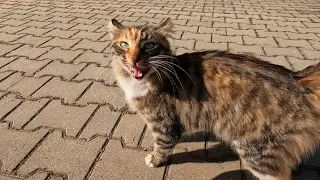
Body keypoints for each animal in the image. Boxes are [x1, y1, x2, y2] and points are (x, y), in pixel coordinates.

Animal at [107, 17, 320, 180]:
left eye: (149, 45)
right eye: (124, 44)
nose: (134, 60)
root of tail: (298, 78)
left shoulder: (164, 123)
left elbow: (162, 145)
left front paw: (156, 159)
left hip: (256, 152)